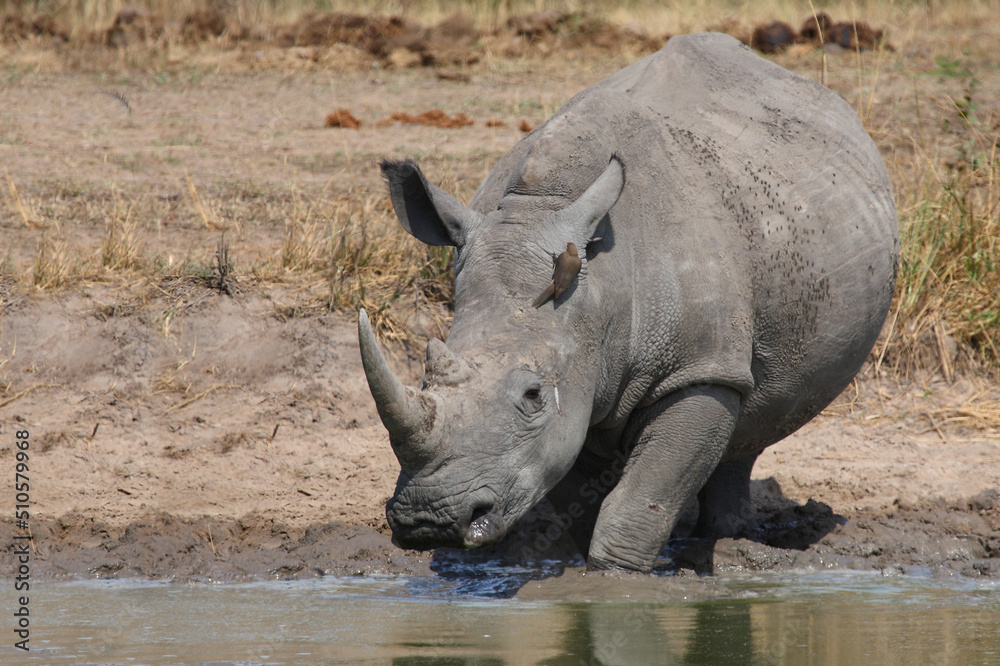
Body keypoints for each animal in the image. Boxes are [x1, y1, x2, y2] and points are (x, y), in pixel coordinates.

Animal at [358, 32, 899, 572]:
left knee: (750, 406)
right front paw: (586, 570)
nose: (428, 520)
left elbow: (640, 498)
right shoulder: (577, 379)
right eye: (425, 377)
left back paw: (725, 544)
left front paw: (615, 578)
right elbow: (575, 486)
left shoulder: (698, 369)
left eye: (532, 395)